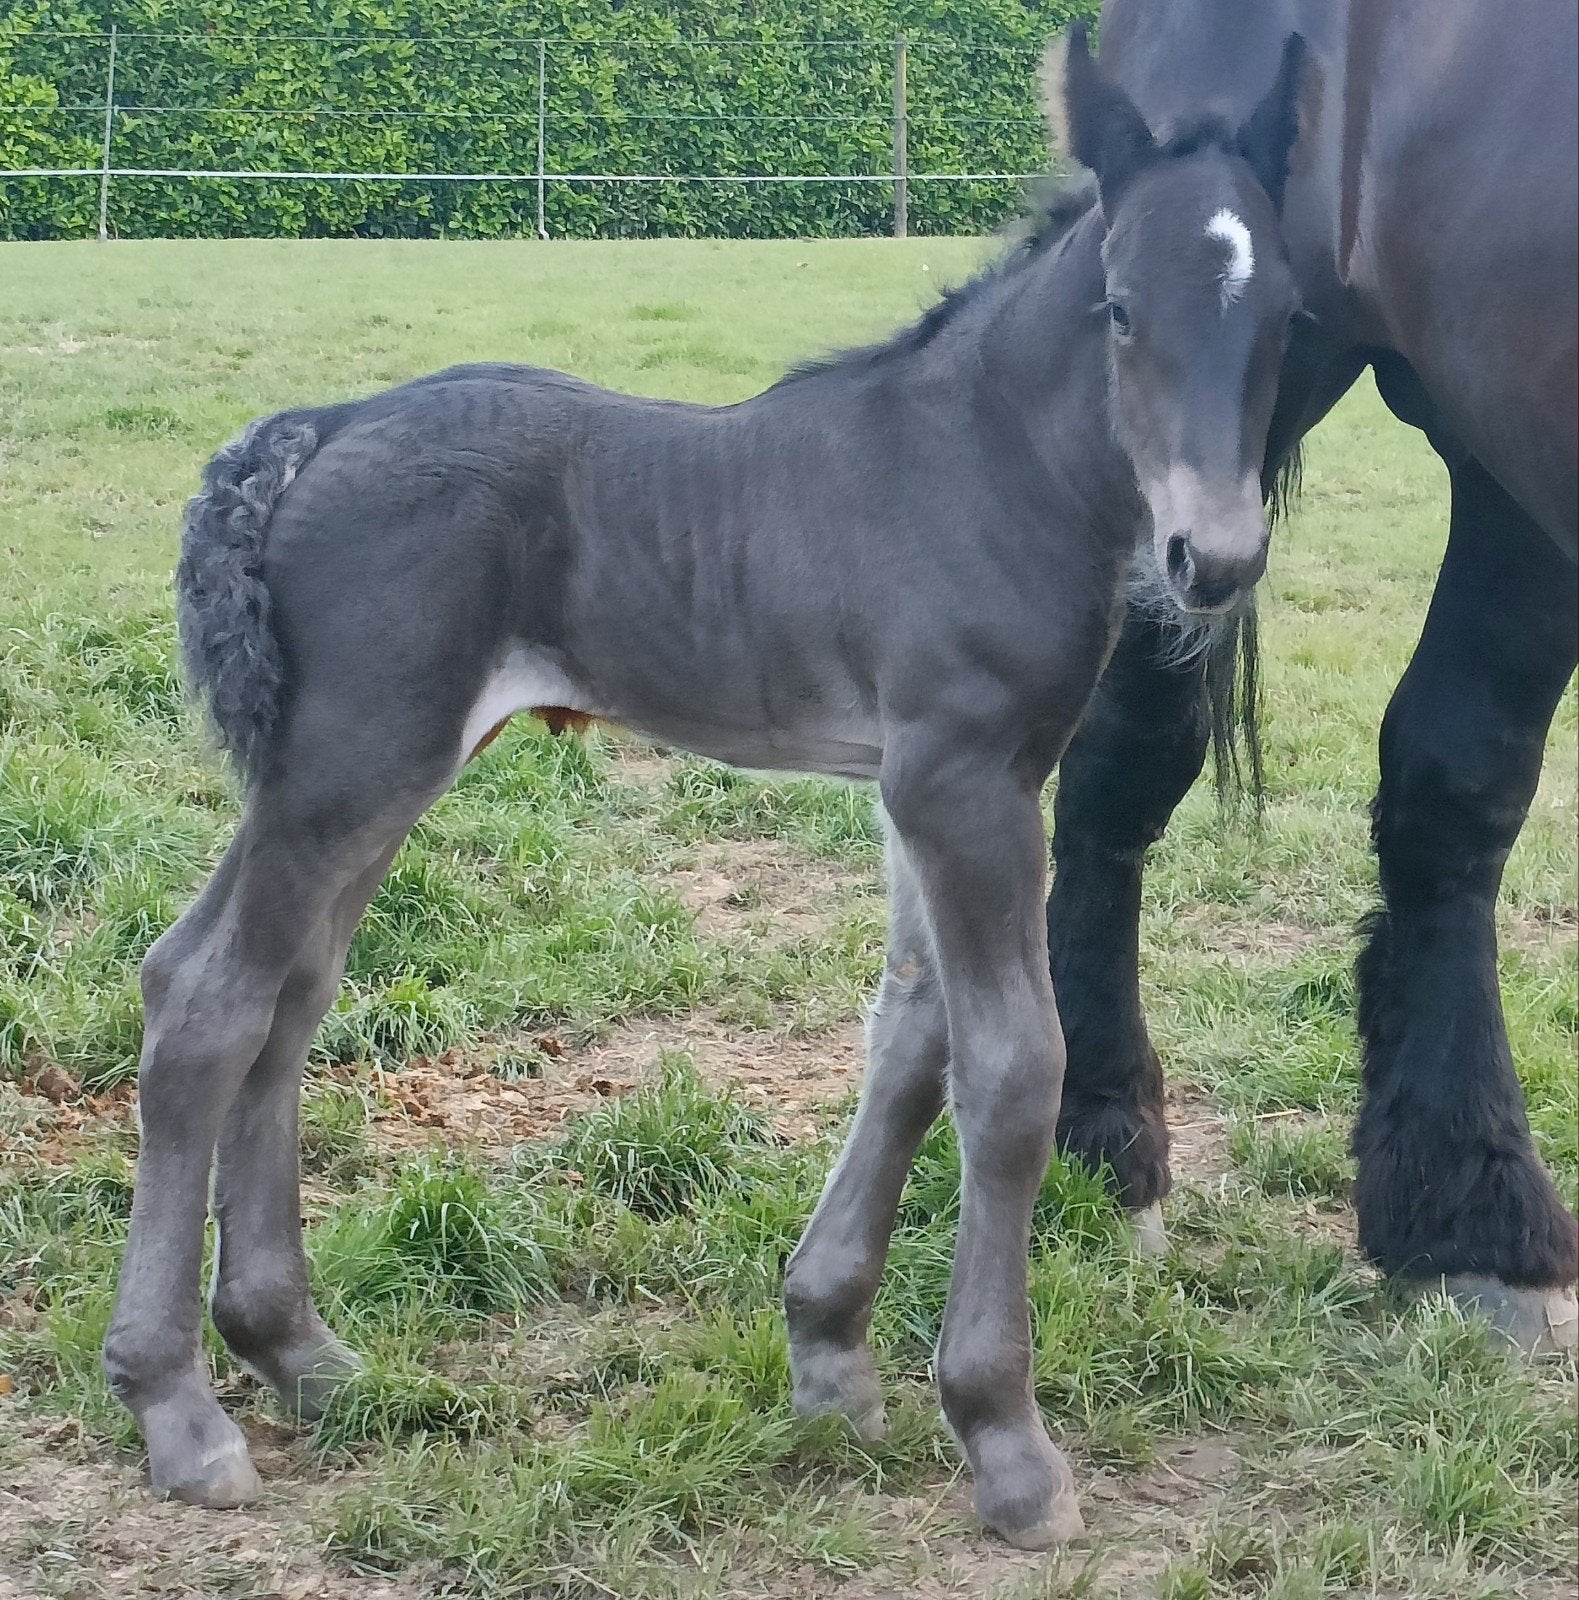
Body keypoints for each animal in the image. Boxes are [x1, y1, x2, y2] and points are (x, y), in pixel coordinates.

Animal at [101, 29, 1307, 1547]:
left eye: (1287, 313)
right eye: (1119, 310)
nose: (1213, 560)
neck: (984, 469)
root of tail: (315, 429)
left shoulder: (926, 783)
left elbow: (909, 1036)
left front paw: (831, 1360)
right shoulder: (961, 780)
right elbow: (1009, 1067)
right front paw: (1006, 1440)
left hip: (379, 766)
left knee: (289, 994)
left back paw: (297, 1351)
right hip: (348, 758)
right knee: (206, 995)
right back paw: (178, 1409)